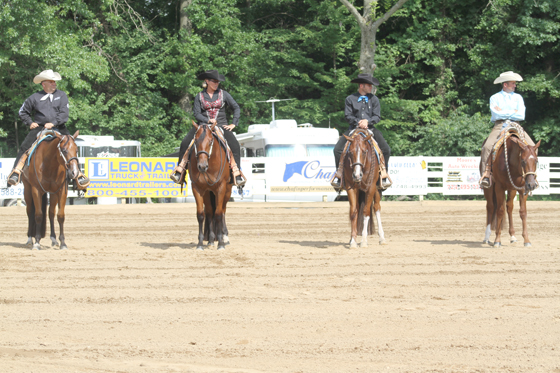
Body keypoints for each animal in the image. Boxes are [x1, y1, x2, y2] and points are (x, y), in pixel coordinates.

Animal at [188, 122, 232, 250]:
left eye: (211, 141)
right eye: (195, 140)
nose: (202, 166)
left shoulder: (221, 188)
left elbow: (218, 214)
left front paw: (221, 243)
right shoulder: (197, 188)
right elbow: (201, 215)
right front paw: (200, 243)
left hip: (227, 191)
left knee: (222, 211)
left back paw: (224, 237)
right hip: (208, 192)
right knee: (209, 212)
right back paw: (211, 240)